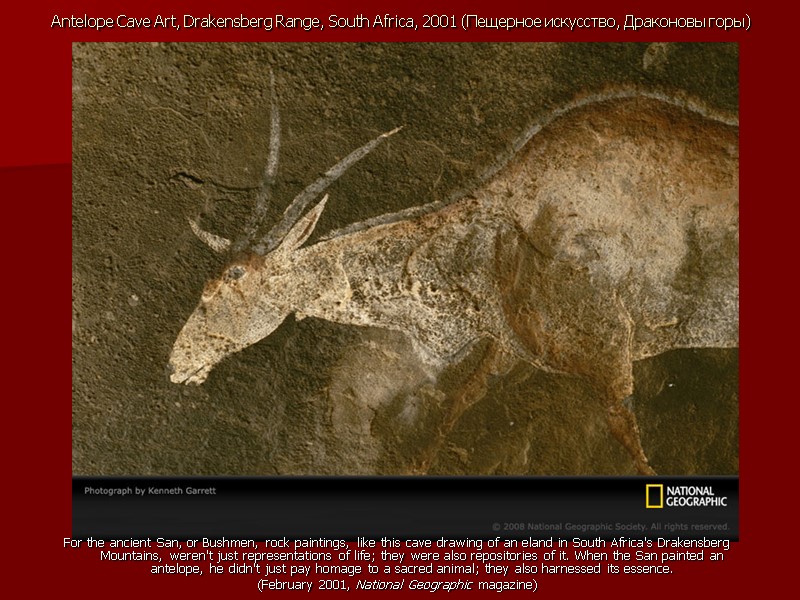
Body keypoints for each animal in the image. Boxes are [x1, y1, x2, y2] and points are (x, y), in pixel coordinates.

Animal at [168, 76, 739, 476]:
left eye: (225, 282)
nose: (176, 363)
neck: (491, 233)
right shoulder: (507, 347)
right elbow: (461, 399)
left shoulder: (606, 358)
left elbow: (634, 449)